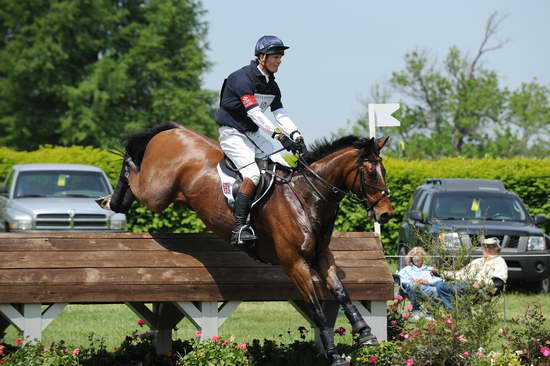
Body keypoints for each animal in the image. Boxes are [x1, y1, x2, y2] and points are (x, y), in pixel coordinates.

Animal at [104, 123, 396, 366]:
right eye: (371, 173)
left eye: (384, 171)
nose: (385, 215)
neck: (305, 198)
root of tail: (173, 131)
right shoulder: (295, 264)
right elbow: (317, 310)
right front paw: (334, 355)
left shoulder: (322, 258)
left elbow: (342, 292)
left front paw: (365, 333)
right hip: (158, 193)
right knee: (133, 172)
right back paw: (111, 199)